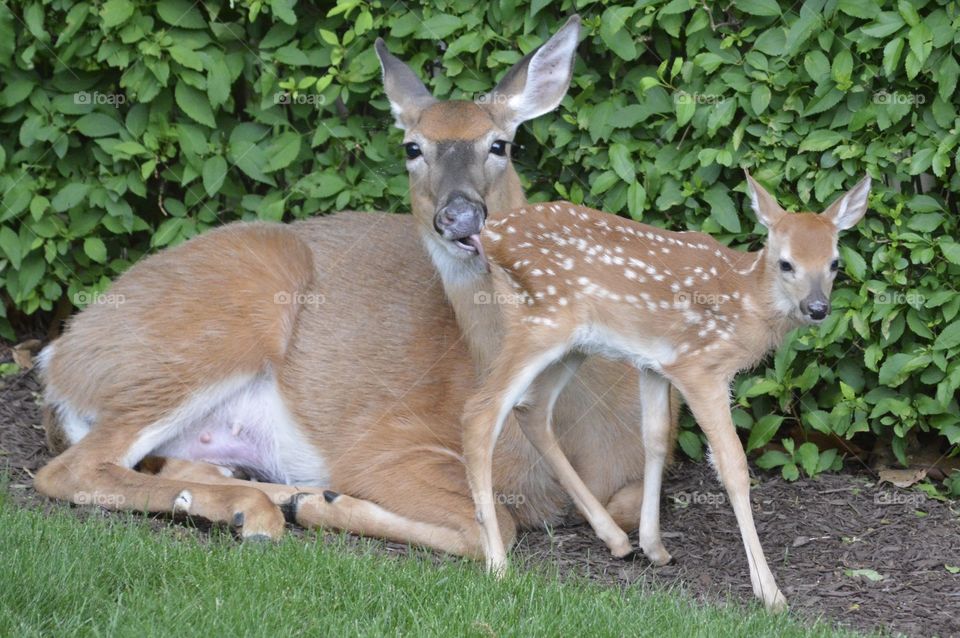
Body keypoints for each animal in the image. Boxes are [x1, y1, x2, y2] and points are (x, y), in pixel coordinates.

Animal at [37, 16, 676, 560]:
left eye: (501, 143)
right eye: (412, 148)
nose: (460, 216)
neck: (578, 423)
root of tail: (60, 357)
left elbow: (626, 505)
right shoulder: (386, 444)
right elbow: (496, 521)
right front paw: (325, 503)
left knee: (163, 465)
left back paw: (259, 501)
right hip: (212, 332)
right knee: (69, 469)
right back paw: (266, 509)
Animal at [462, 172, 872, 612]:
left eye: (834, 262)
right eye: (786, 263)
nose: (817, 308)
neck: (746, 300)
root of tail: (490, 233)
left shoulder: (655, 363)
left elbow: (656, 438)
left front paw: (654, 547)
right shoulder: (700, 368)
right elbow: (733, 467)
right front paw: (770, 593)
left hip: (572, 344)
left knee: (531, 410)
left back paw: (616, 539)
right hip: (539, 323)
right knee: (481, 412)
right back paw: (498, 565)